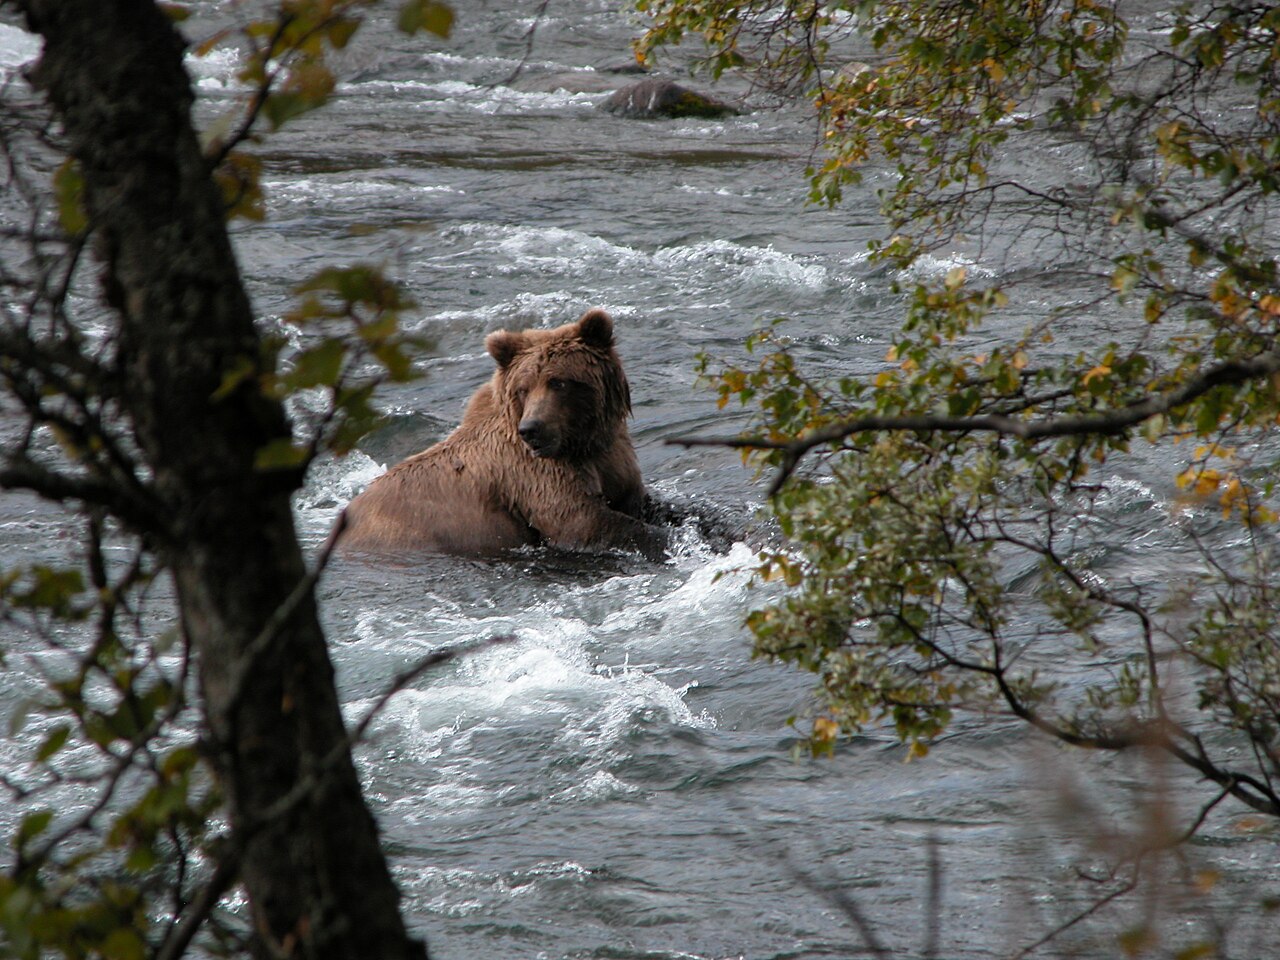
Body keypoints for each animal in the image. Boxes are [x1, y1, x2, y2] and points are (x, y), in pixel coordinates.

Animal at [338, 308, 669, 559]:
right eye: (524, 388)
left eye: (558, 382)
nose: (531, 429)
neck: (582, 442)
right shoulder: (533, 475)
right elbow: (583, 522)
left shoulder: (612, 457)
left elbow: (636, 501)